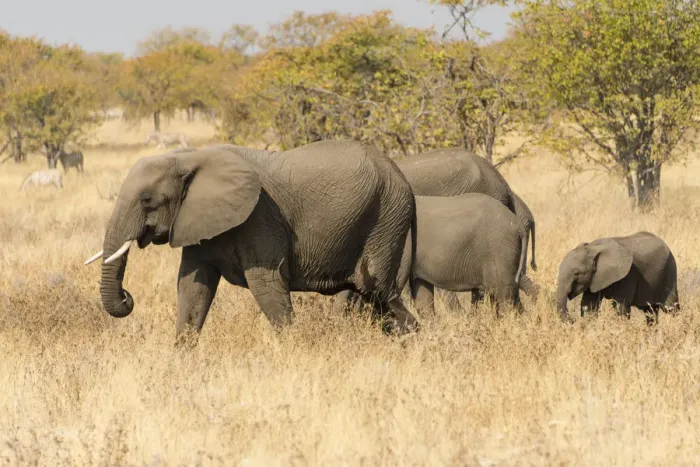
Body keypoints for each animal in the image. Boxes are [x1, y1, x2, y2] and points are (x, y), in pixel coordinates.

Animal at [83, 140, 420, 340]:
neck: (188, 157)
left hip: (386, 218)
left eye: (147, 199)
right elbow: (192, 287)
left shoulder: (261, 216)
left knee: (379, 291)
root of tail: (402, 177)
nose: (127, 297)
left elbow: (266, 284)